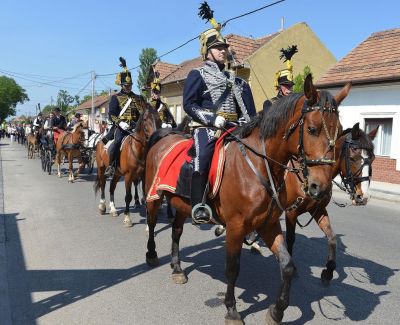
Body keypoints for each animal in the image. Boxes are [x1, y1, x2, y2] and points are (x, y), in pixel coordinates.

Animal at [145, 74, 350, 322]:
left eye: (340, 131)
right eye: (312, 129)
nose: (319, 187)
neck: (259, 165)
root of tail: (163, 137)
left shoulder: (268, 224)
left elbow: (287, 265)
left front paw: (277, 311)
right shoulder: (236, 226)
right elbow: (233, 269)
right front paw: (232, 310)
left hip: (182, 205)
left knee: (176, 231)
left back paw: (177, 268)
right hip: (154, 198)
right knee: (152, 223)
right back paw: (152, 254)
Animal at [284, 121, 378, 284]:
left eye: (372, 159)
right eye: (352, 157)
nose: (363, 197)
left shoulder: (319, 210)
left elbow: (332, 238)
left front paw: (329, 270)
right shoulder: (291, 212)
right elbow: (290, 239)